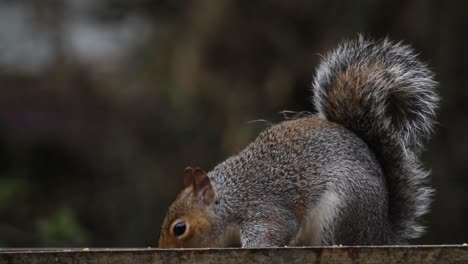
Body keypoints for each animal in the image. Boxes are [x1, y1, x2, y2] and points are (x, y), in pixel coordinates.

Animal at [158, 35, 438, 248]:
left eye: (179, 228)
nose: (163, 251)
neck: (227, 200)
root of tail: (379, 234)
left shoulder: (262, 210)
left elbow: (273, 232)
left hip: (340, 211)